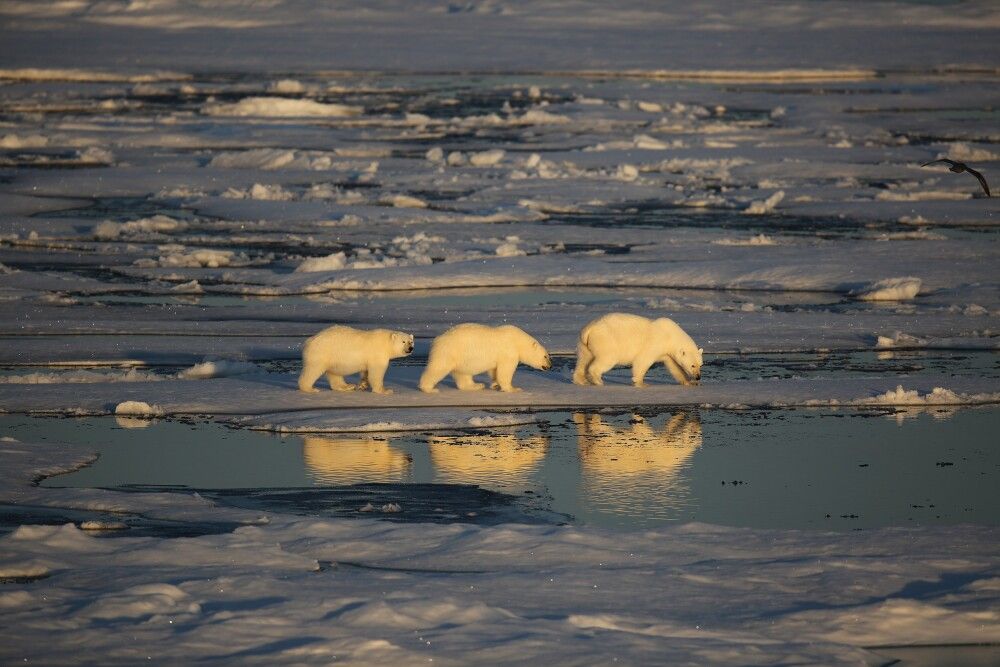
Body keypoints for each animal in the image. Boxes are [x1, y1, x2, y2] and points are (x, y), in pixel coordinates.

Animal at [418, 322, 552, 392]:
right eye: (545, 356)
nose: (550, 366)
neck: (518, 341)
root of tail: (437, 340)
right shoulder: (508, 352)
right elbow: (505, 370)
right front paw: (513, 388)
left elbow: (494, 370)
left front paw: (494, 384)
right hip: (448, 352)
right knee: (438, 368)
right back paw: (429, 388)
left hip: (461, 358)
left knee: (463, 374)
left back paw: (476, 385)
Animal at [572, 314, 704, 388]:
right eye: (692, 365)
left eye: (700, 365)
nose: (698, 377)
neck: (671, 336)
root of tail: (589, 329)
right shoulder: (656, 342)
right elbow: (643, 360)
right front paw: (641, 383)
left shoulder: (667, 353)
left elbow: (674, 367)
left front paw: (689, 382)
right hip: (606, 340)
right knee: (607, 358)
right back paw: (598, 380)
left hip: (584, 344)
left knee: (583, 360)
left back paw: (581, 381)